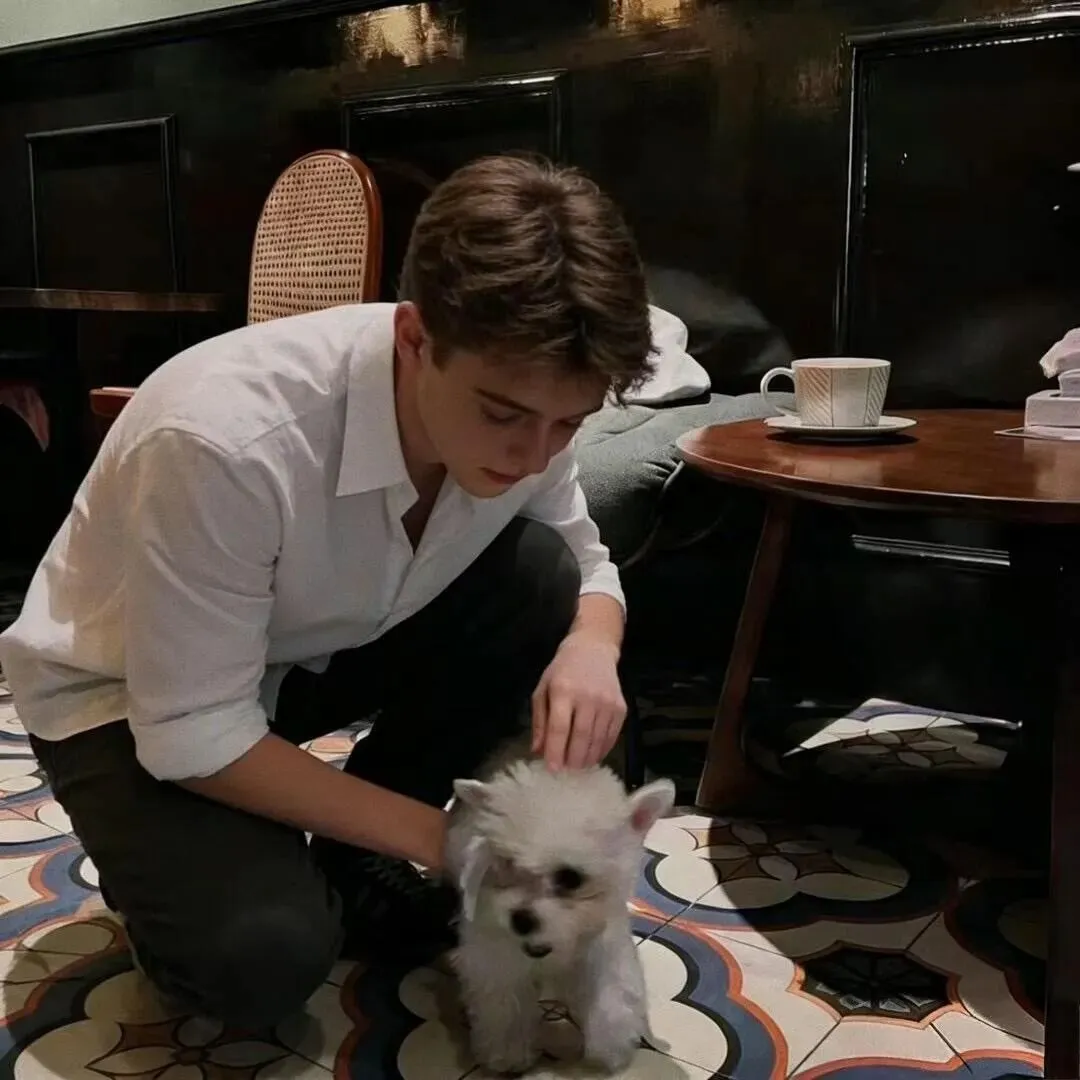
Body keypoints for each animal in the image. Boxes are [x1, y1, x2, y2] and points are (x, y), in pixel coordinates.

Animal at [445, 739, 675, 1075]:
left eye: (570, 878)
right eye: (506, 864)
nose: (520, 919)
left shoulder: (603, 947)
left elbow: (611, 995)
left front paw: (610, 1047)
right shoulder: (498, 956)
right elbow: (504, 1005)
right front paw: (508, 1054)